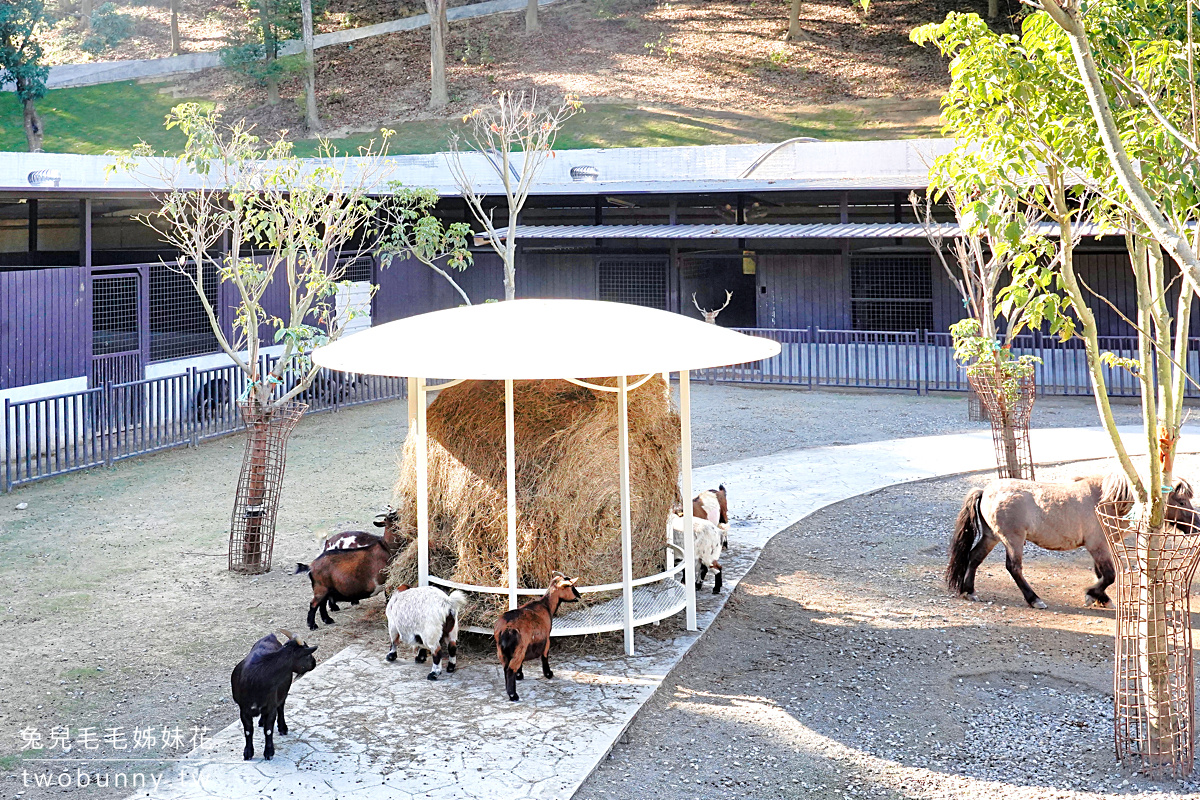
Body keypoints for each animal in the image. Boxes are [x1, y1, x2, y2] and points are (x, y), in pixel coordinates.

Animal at [230, 633, 316, 762]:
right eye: (308, 654)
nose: (314, 662)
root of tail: (270, 636)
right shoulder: (243, 709)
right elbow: (248, 731)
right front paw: (248, 752)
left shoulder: (271, 706)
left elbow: (268, 730)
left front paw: (269, 752)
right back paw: (262, 721)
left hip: (283, 691)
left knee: (281, 707)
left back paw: (282, 728)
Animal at [945, 472, 1190, 609]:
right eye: (1183, 502)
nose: (1194, 524)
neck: (1106, 501)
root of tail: (985, 490)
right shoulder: (1098, 546)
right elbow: (1109, 575)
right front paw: (1092, 595)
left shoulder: (1098, 547)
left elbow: (1101, 574)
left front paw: (1102, 598)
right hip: (1012, 539)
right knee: (1013, 567)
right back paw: (1034, 599)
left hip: (991, 537)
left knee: (974, 558)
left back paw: (969, 591)